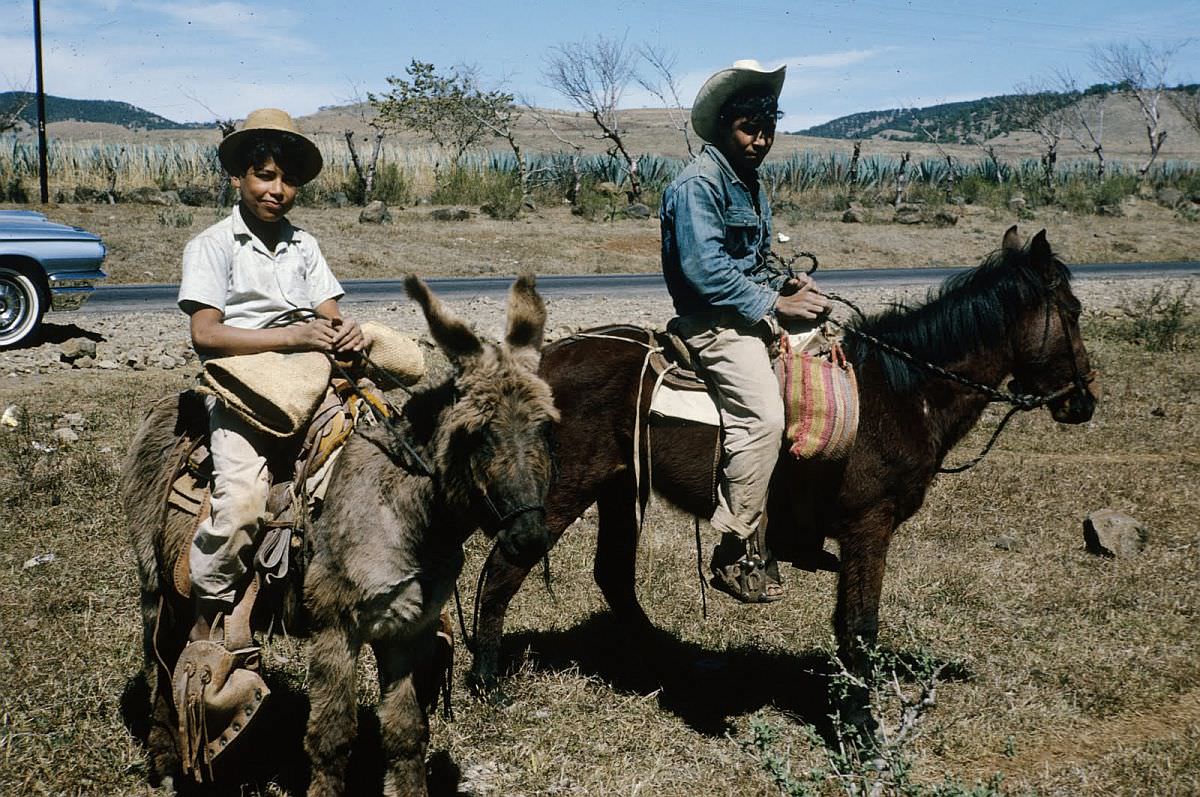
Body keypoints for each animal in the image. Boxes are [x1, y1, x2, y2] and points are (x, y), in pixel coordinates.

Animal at [119, 276, 559, 797]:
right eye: (477, 434)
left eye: (547, 429)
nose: (530, 538)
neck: (403, 513)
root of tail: (170, 404)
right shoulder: (334, 630)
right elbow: (331, 739)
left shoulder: (406, 630)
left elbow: (407, 732)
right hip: (157, 586)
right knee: (160, 667)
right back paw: (167, 762)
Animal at [465, 225, 1099, 729]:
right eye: (1071, 312)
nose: (1084, 402)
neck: (901, 393)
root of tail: (532, 366)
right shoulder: (869, 525)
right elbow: (858, 626)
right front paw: (861, 730)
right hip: (563, 488)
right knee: (504, 570)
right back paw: (486, 686)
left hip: (620, 488)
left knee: (614, 577)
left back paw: (667, 663)